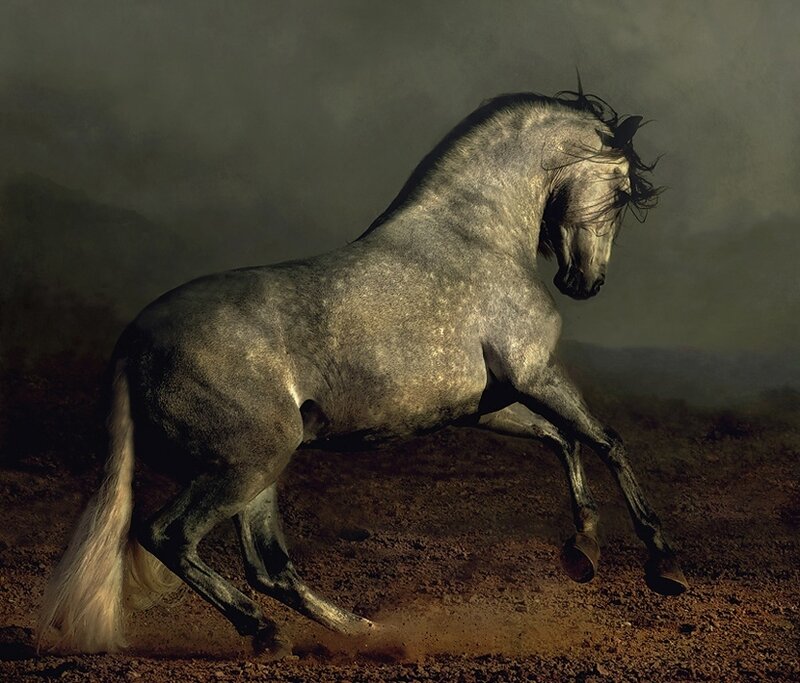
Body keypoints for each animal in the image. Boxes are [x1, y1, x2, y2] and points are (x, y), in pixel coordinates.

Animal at [38, 87, 688, 655]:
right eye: (622, 192)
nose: (585, 283)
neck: (476, 237)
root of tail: (132, 342)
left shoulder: (486, 406)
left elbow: (564, 441)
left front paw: (583, 551)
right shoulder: (535, 373)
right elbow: (606, 440)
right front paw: (664, 566)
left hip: (260, 470)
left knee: (267, 565)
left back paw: (360, 631)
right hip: (249, 462)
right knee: (168, 536)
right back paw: (270, 634)